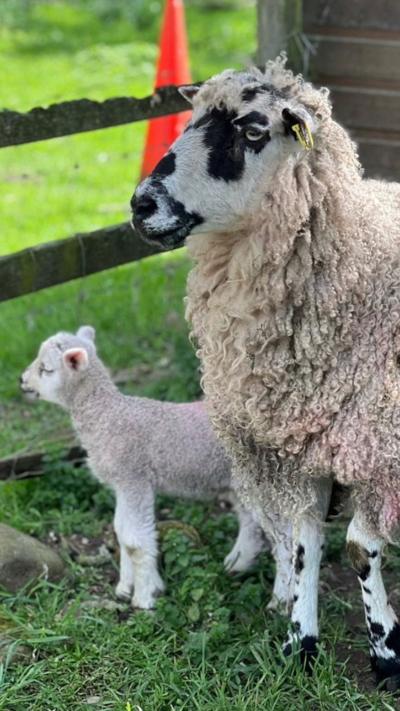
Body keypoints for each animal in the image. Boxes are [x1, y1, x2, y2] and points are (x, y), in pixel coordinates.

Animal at [20, 326, 293, 611]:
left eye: (46, 369)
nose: (22, 381)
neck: (106, 416)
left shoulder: (134, 478)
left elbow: (135, 542)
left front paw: (144, 598)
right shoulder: (123, 484)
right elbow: (121, 532)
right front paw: (125, 588)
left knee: (285, 539)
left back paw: (281, 600)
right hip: (238, 482)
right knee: (252, 523)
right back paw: (238, 563)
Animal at [132, 55, 400, 687]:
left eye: (254, 132)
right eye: (192, 118)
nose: (141, 205)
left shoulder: (381, 445)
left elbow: (359, 547)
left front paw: (387, 652)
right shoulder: (296, 442)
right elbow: (305, 543)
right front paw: (301, 644)